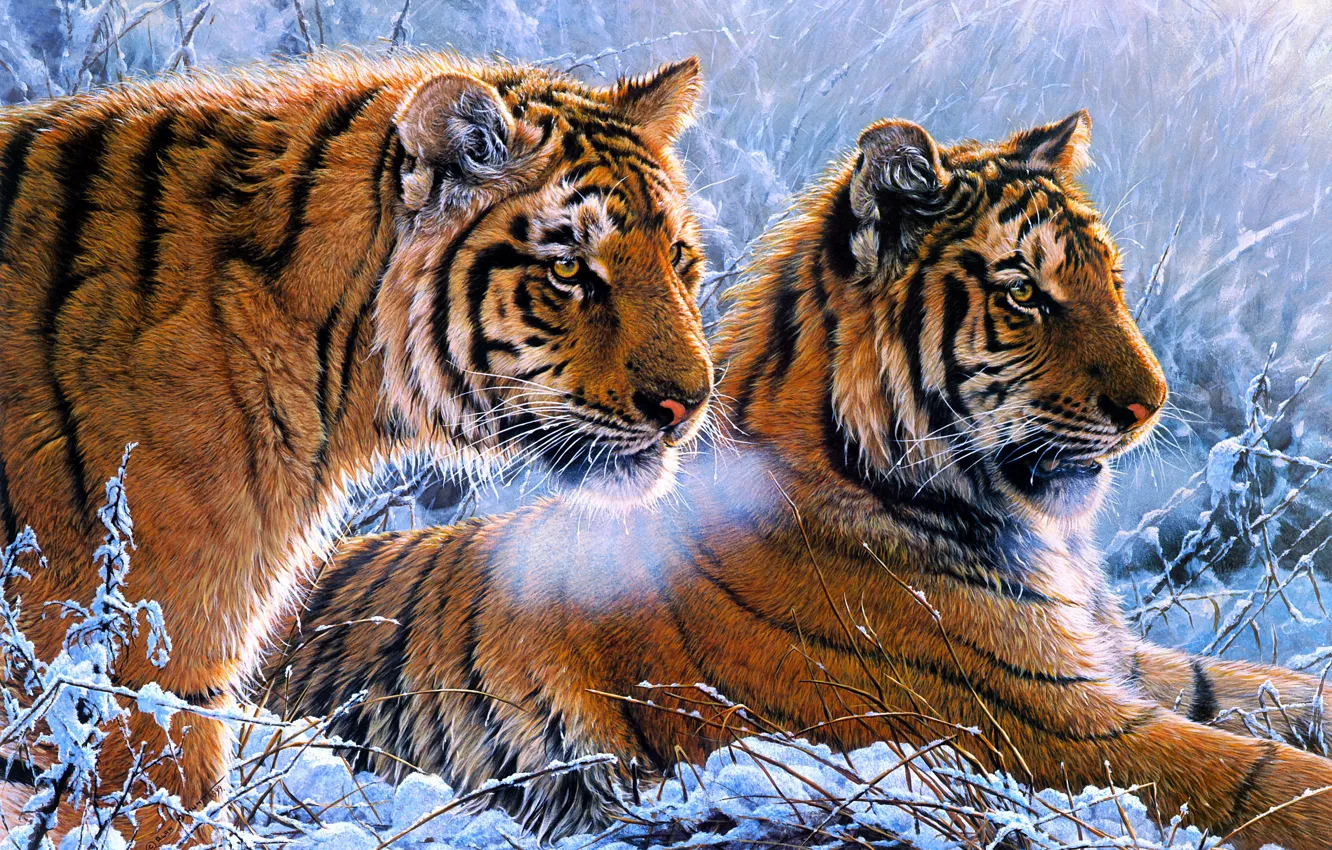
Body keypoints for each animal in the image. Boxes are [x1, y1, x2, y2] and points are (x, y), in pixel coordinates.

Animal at [268, 111, 1332, 848]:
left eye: (1108, 279)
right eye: (1025, 293)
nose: (1151, 405)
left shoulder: (1114, 662)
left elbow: (1274, 691)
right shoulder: (1038, 723)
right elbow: (1258, 776)